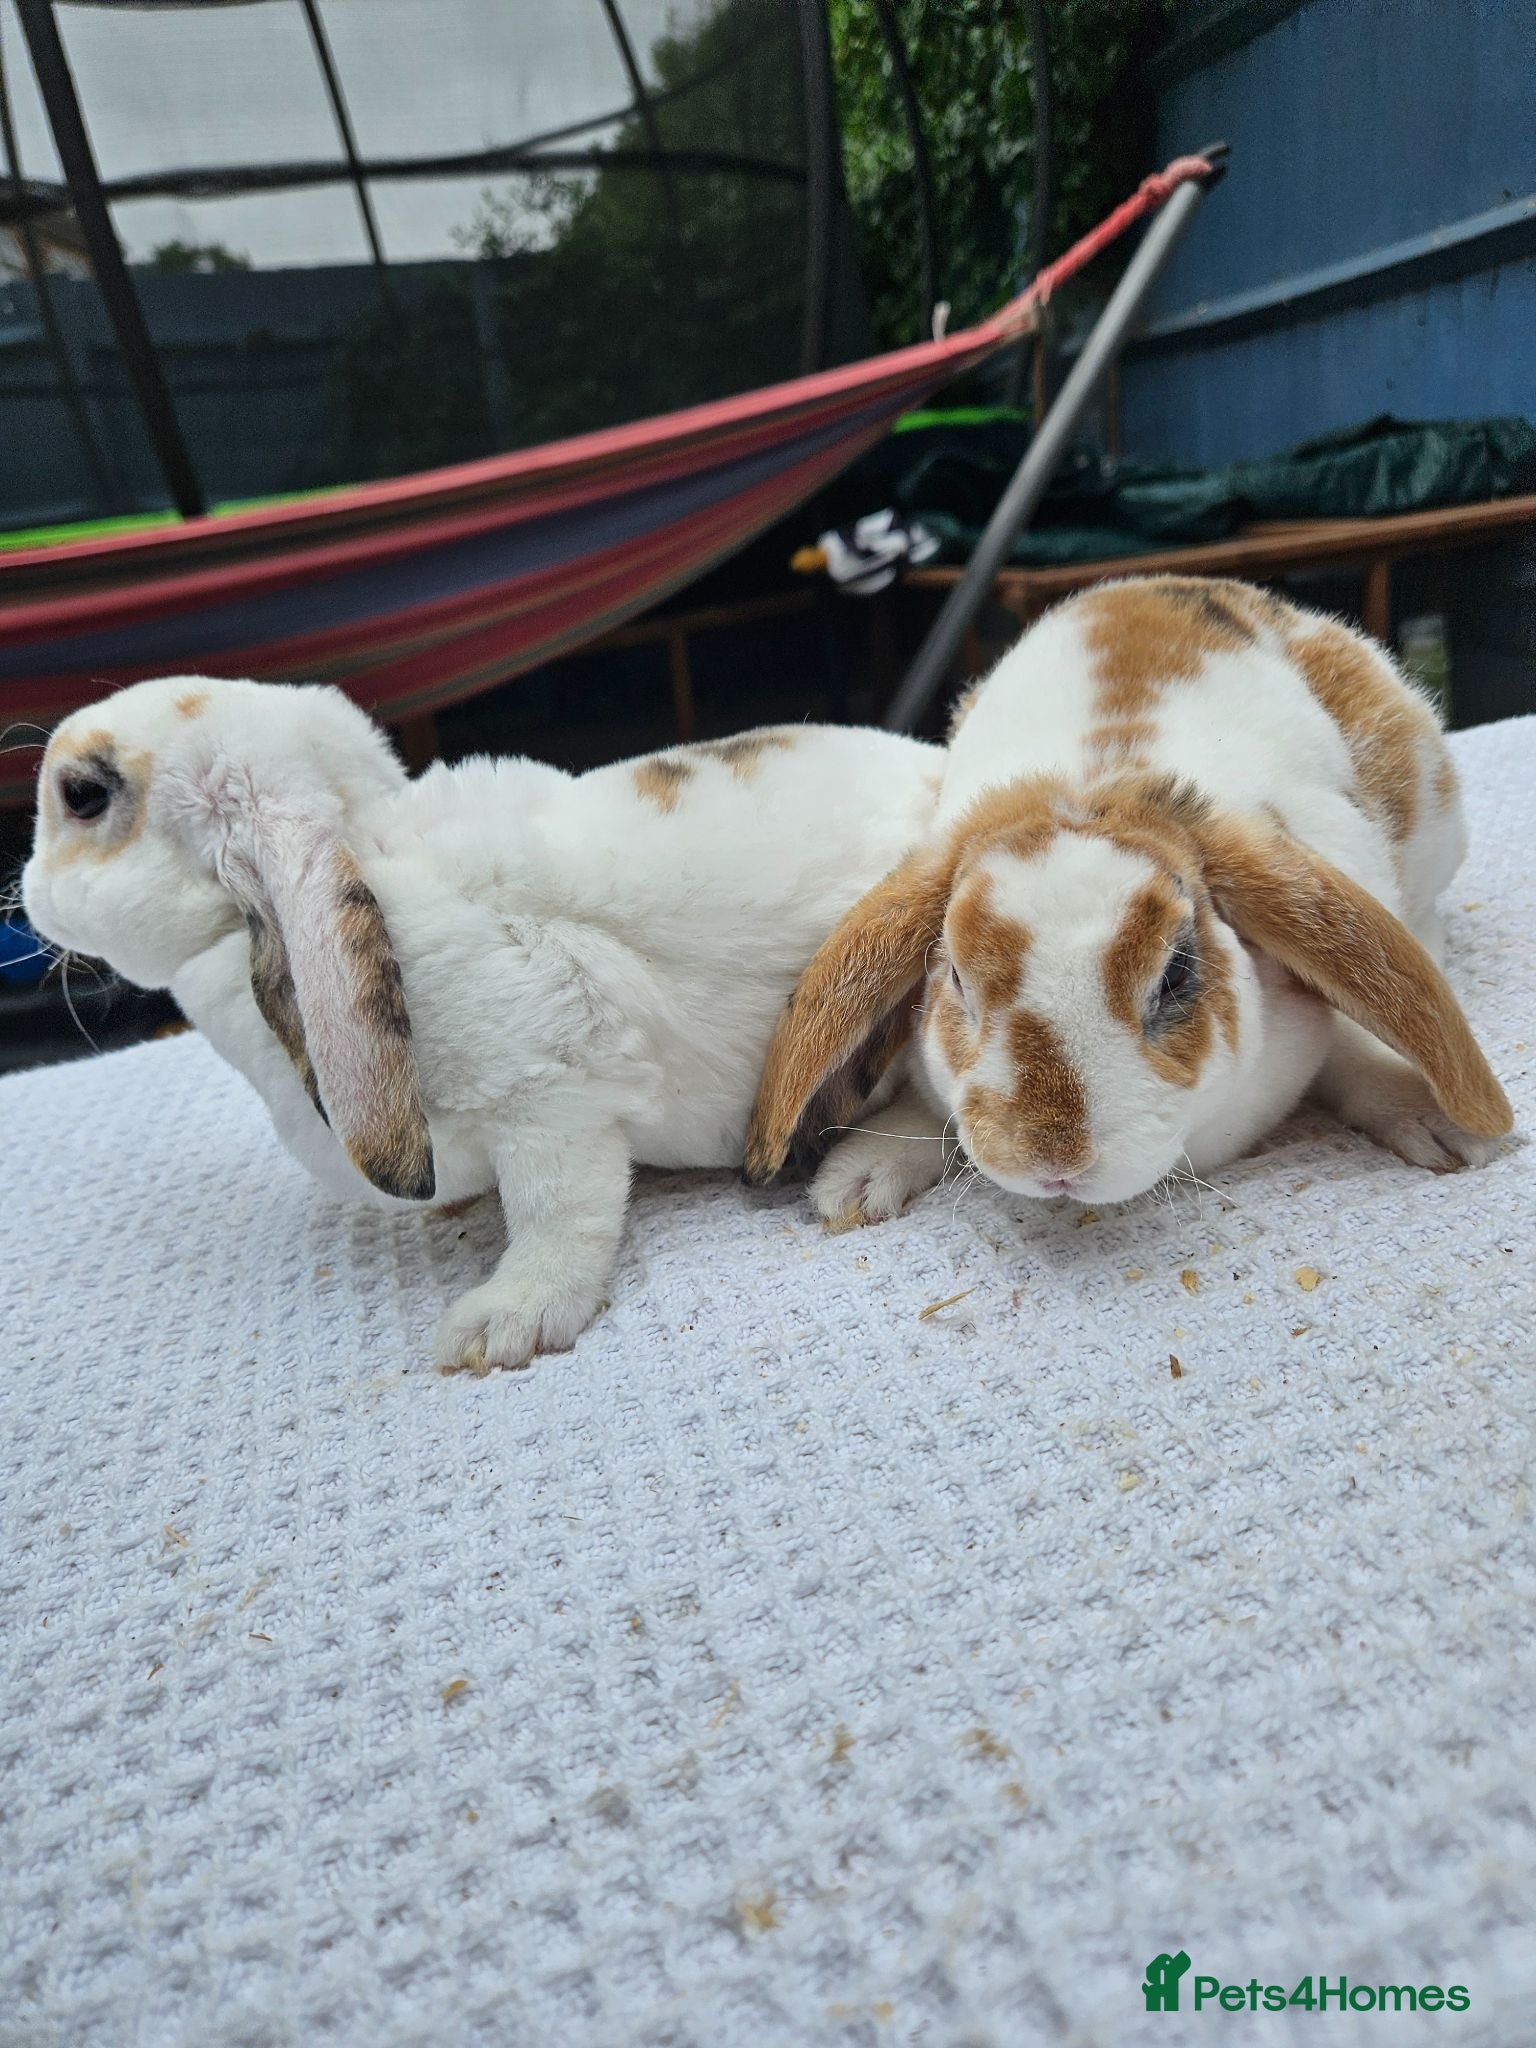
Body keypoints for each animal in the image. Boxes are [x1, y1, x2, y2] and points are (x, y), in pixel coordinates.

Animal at [22, 676, 943, 1370]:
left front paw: (503, 1325)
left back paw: (860, 1177)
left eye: (83, 797)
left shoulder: (549, 1104)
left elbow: (557, 1216)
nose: (26, 891)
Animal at [742, 575, 1512, 1222]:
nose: (1055, 1162)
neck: (1096, 784)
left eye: (1174, 974)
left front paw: (1445, 1127)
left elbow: (1352, 1044)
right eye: (955, 978)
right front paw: (857, 1180)